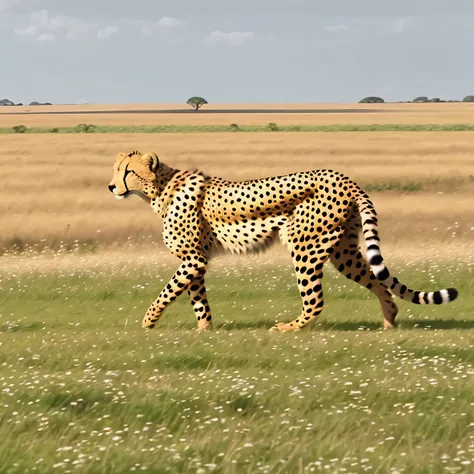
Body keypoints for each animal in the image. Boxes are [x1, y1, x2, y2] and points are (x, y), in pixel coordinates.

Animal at [108, 150, 460, 332]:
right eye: (116, 170)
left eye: (128, 172)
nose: (111, 187)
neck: (160, 188)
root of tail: (343, 176)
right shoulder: (195, 259)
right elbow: (197, 298)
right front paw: (204, 330)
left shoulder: (193, 258)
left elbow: (168, 291)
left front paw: (148, 322)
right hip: (343, 250)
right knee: (378, 282)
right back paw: (388, 321)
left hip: (304, 245)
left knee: (315, 300)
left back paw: (289, 328)